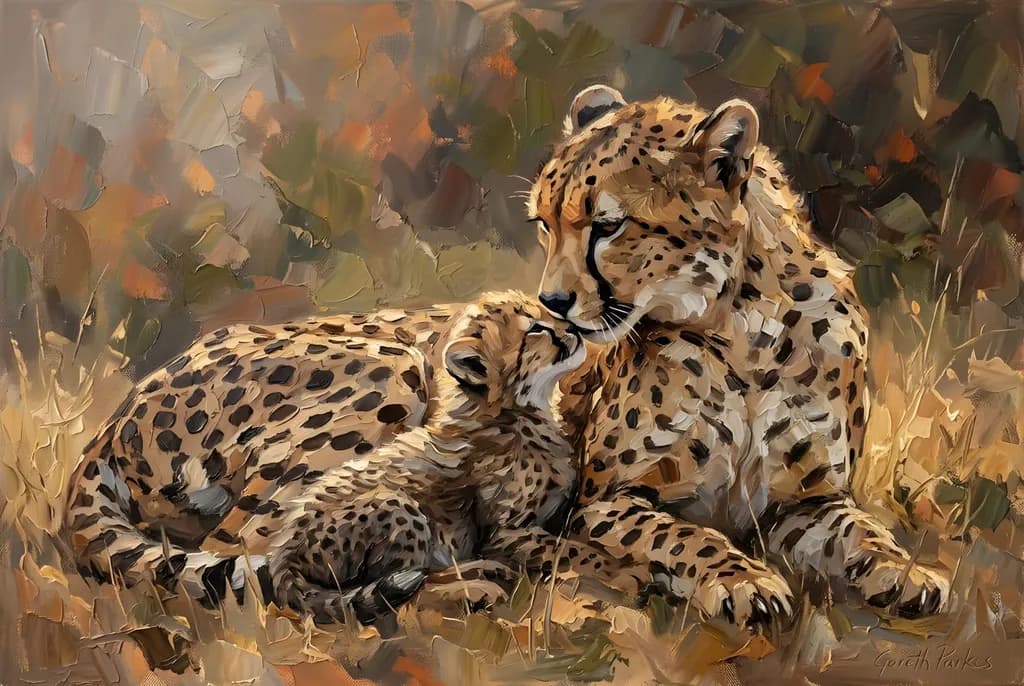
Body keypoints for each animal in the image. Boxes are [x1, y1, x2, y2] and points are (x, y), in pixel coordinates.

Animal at [64, 291, 640, 625]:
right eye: (534, 327)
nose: (572, 329)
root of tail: (113, 425)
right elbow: (574, 547)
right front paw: (623, 576)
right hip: (392, 371)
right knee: (260, 570)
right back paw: (463, 587)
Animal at [525, 84, 951, 629]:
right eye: (544, 224)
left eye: (608, 225)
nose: (551, 301)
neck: (743, 333)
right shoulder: (601, 502)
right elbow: (683, 535)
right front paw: (743, 580)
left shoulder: (802, 503)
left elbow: (861, 528)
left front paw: (903, 569)